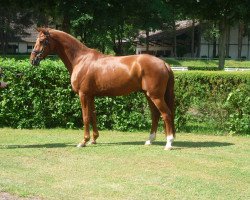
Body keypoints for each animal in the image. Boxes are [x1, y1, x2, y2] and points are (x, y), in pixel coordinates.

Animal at [30, 28, 175, 150]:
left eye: (42, 41)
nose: (32, 60)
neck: (80, 59)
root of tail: (164, 63)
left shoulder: (83, 95)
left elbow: (85, 117)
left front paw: (83, 141)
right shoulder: (91, 95)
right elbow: (93, 115)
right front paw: (93, 139)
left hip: (155, 96)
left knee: (166, 114)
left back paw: (168, 143)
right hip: (148, 95)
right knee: (155, 114)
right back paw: (150, 140)